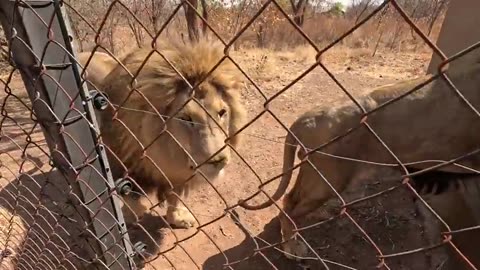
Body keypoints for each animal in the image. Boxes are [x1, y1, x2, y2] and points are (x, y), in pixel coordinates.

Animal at [79, 41, 248, 229]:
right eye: (186, 118)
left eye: (222, 113)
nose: (219, 161)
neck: (167, 153)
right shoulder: (122, 163)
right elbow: (130, 195)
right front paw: (130, 216)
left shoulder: (177, 176)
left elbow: (176, 197)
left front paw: (178, 217)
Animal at [240, 62, 480, 260]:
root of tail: (309, 116)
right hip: (327, 179)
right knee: (290, 208)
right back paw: (293, 249)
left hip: (314, 170)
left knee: (289, 200)